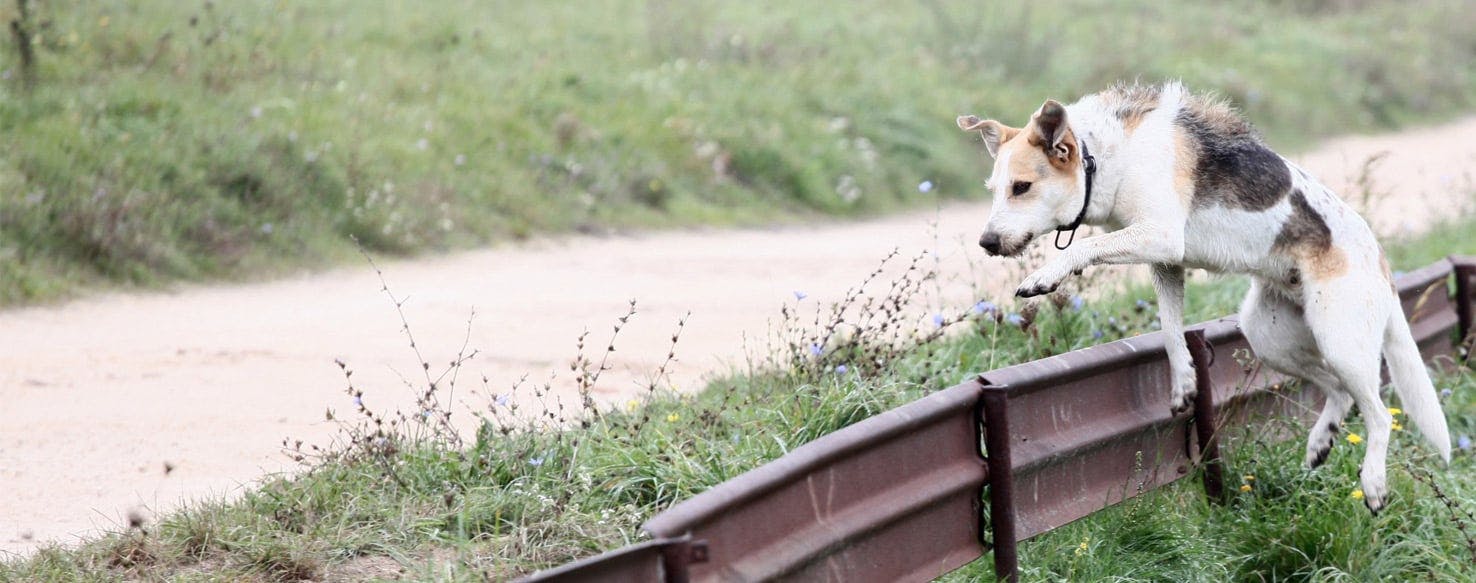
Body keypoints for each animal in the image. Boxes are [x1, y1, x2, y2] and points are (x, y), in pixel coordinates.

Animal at [956, 81, 1452, 510]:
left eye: (1022, 187)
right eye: (994, 191)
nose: (986, 242)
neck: (1105, 156)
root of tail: (1381, 261)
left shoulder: (1159, 237)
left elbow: (1081, 249)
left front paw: (1046, 275)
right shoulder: (1165, 263)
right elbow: (1171, 329)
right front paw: (1184, 382)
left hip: (1340, 340)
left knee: (1380, 412)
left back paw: (1373, 484)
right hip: (1268, 336)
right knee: (1339, 392)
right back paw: (1319, 444)